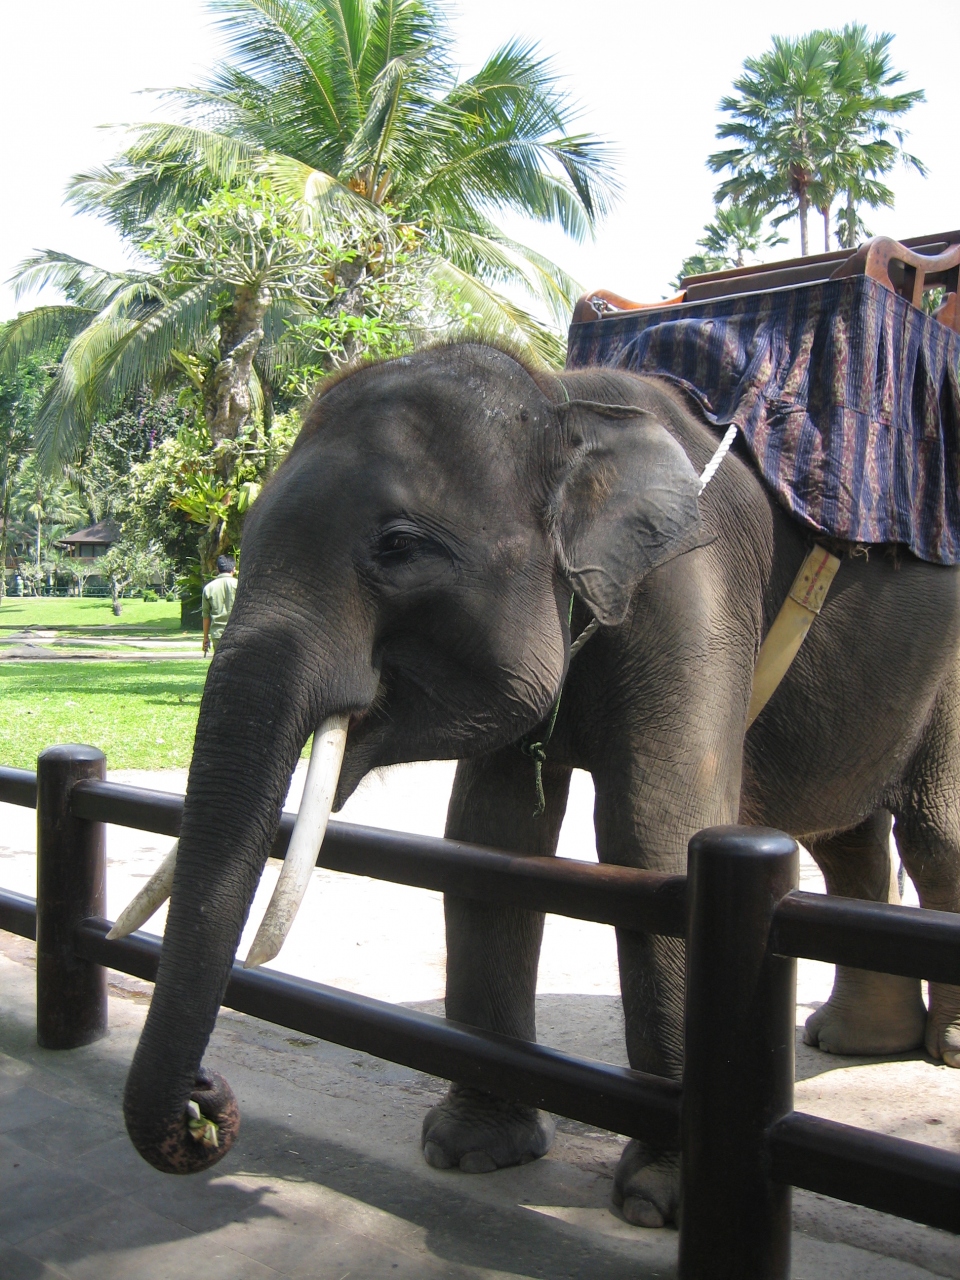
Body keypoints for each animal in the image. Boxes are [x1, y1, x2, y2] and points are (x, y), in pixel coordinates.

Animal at [118, 340, 960, 1228]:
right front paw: (472, 1154)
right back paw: (853, 1042)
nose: (205, 1103)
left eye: (398, 546)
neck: (564, 403)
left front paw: (659, 1204)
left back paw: (940, 1049)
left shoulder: (692, 591)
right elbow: (489, 839)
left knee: (934, 836)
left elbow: (655, 833)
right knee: (847, 837)